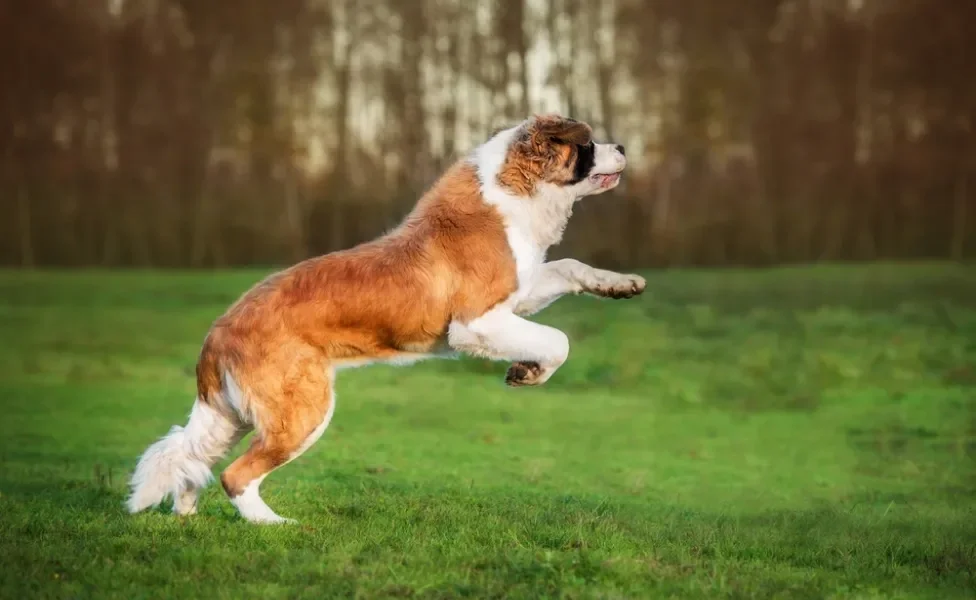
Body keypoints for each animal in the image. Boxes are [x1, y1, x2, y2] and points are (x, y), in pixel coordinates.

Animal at [127, 115, 648, 524]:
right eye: (586, 144)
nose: (623, 147)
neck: (516, 187)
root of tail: (218, 331)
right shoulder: (477, 322)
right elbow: (557, 340)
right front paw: (529, 372)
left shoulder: (516, 296)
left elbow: (568, 267)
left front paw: (620, 284)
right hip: (302, 412)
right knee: (235, 475)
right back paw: (274, 524)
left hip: (231, 418)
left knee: (189, 458)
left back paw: (187, 515)